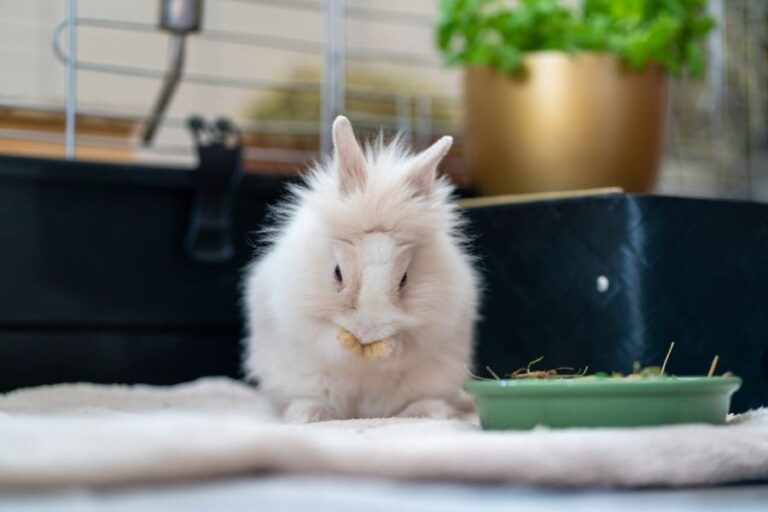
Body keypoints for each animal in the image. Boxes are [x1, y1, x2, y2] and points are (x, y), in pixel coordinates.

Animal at [242, 115, 480, 423]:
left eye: (404, 279)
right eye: (337, 273)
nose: (368, 332)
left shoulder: (432, 326)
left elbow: (407, 345)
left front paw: (388, 347)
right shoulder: (304, 320)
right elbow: (328, 341)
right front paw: (346, 342)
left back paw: (426, 413)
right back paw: (308, 414)